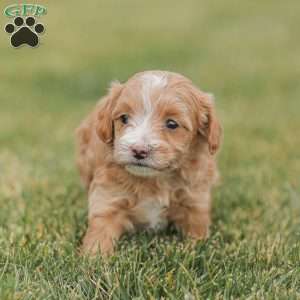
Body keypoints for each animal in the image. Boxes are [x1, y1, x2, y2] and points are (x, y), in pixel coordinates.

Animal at [76, 70, 221, 255]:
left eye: (172, 123)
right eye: (124, 118)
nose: (138, 150)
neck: (155, 179)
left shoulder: (195, 201)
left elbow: (197, 235)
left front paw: (194, 249)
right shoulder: (109, 198)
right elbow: (100, 234)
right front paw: (93, 257)